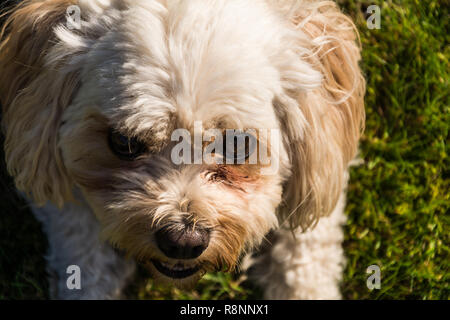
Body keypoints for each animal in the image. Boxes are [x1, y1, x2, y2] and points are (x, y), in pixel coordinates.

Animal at [0, 0, 364, 300]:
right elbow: (84, 256)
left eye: (238, 144)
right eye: (124, 142)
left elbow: (307, 257)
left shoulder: (325, 164)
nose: (183, 241)